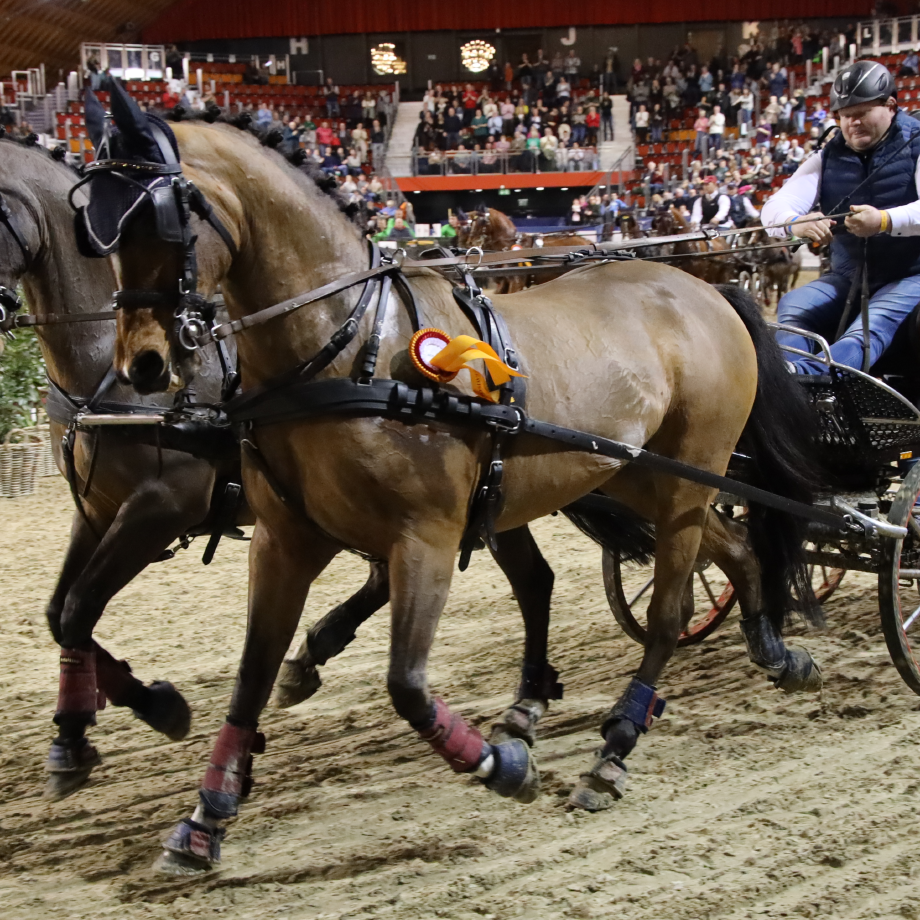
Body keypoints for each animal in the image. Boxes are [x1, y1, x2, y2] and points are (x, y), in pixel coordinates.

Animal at [90, 88, 832, 876]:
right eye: (95, 225)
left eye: (159, 217)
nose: (141, 364)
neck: (352, 348)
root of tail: (705, 291)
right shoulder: (286, 540)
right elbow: (252, 673)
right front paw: (207, 816)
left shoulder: (427, 538)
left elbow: (407, 685)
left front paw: (503, 765)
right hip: (639, 475)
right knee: (741, 552)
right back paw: (776, 653)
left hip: (690, 479)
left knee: (666, 614)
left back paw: (614, 751)